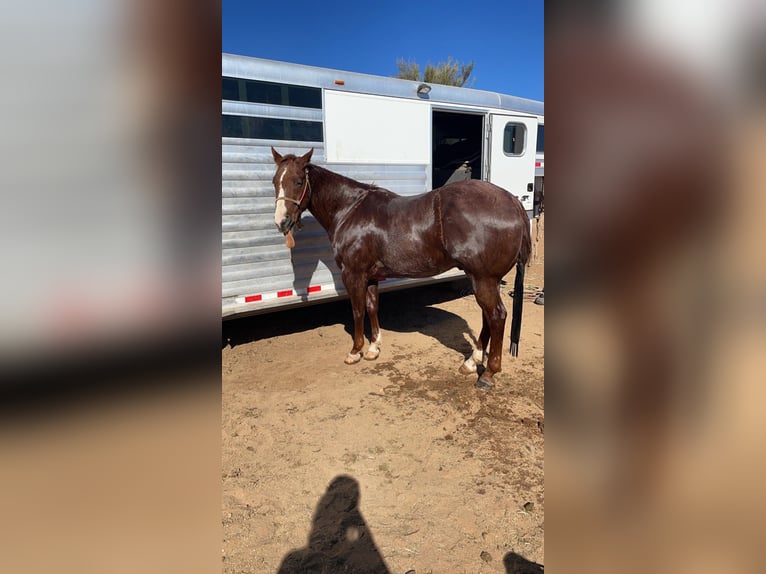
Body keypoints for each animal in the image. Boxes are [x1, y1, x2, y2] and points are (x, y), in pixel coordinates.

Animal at [271, 147, 531, 388]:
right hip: (484, 278)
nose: (281, 222)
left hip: (483, 278)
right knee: (488, 316)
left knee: (497, 316)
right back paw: (471, 361)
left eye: (298, 181)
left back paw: (488, 374)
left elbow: (357, 311)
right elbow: (372, 307)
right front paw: (374, 348)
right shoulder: (371, 276)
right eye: (275, 181)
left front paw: (355, 351)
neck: (350, 209)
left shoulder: (353, 274)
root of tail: (512, 201)